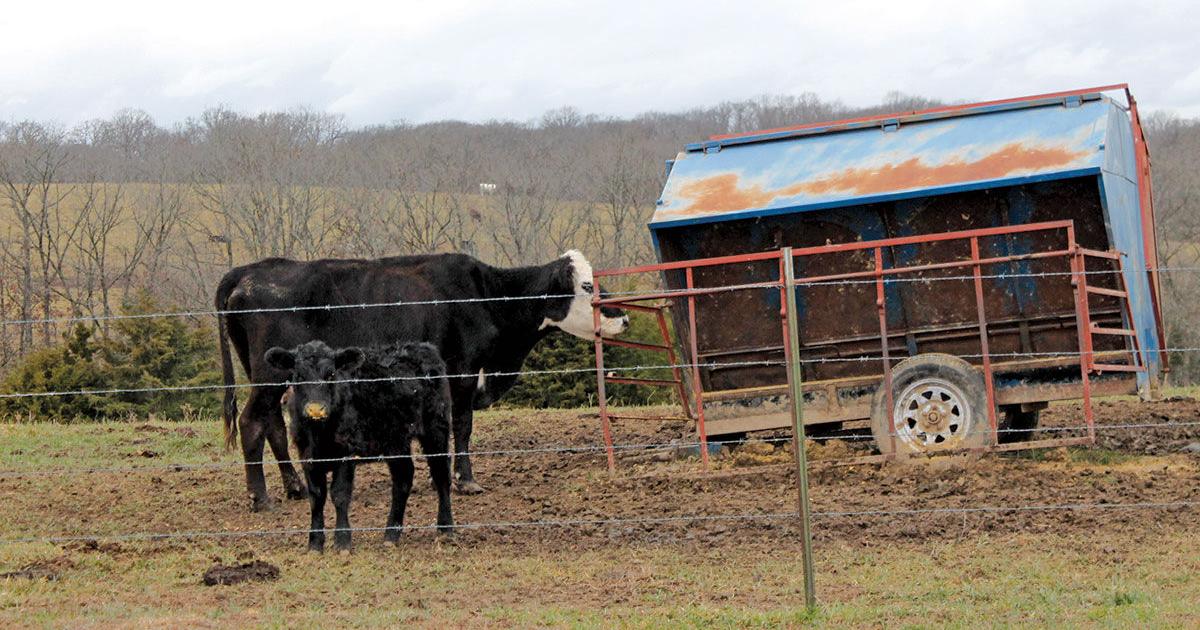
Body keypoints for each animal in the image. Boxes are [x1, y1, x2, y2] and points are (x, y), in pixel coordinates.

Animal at [216, 250, 628, 512]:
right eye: (587, 286)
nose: (623, 317)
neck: (484, 297)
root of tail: (250, 272)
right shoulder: (462, 372)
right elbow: (461, 425)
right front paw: (464, 480)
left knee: (273, 424)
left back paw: (295, 487)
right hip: (270, 377)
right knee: (252, 422)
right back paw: (260, 499)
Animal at [266, 340, 453, 553]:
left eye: (331, 375)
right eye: (298, 376)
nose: (315, 410)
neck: (319, 435)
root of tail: (423, 347)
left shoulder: (346, 452)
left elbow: (339, 494)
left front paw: (342, 541)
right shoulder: (307, 456)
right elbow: (317, 497)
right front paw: (315, 543)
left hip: (436, 428)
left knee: (440, 474)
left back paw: (445, 528)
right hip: (396, 441)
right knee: (403, 477)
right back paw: (391, 534)